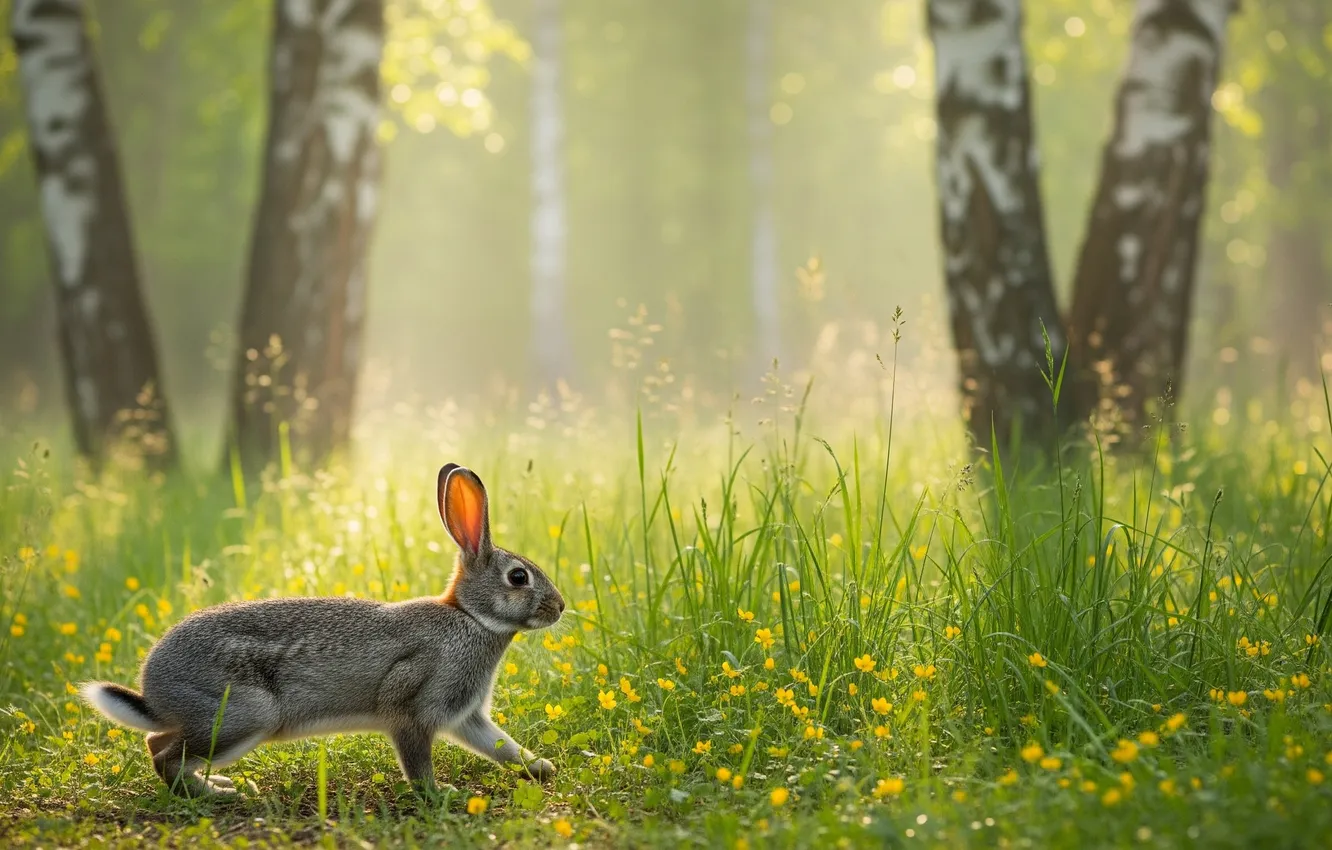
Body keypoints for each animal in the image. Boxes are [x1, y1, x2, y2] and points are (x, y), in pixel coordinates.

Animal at [80, 464, 565, 798]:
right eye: (518, 577)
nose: (559, 607)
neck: (469, 616)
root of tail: (154, 693)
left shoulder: (467, 716)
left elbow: (501, 745)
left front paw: (541, 768)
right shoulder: (411, 707)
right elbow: (416, 761)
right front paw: (438, 793)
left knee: (155, 742)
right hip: (244, 714)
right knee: (167, 758)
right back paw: (218, 794)